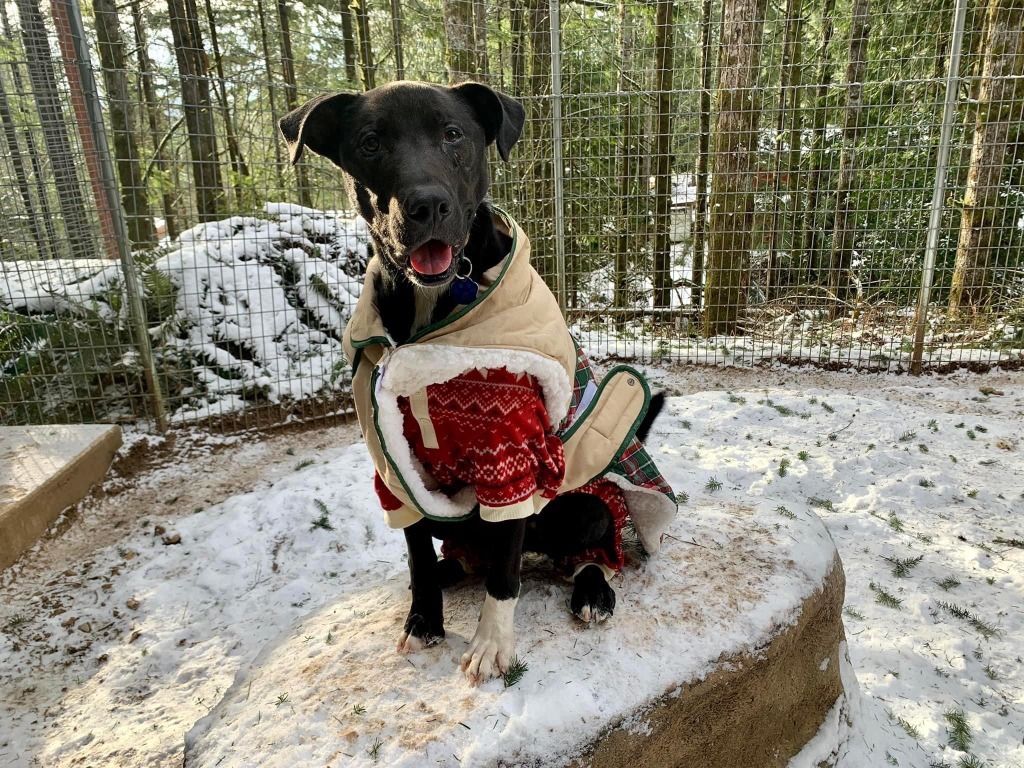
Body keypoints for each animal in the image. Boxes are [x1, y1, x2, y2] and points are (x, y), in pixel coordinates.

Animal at [280, 82, 663, 684]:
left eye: (452, 134)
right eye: (370, 143)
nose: (427, 206)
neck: (435, 310)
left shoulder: (514, 456)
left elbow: (505, 572)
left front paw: (491, 644)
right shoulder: (395, 465)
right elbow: (415, 554)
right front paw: (423, 619)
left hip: (588, 507)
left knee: (580, 555)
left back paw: (591, 591)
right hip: (456, 519)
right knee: (459, 555)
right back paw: (451, 570)